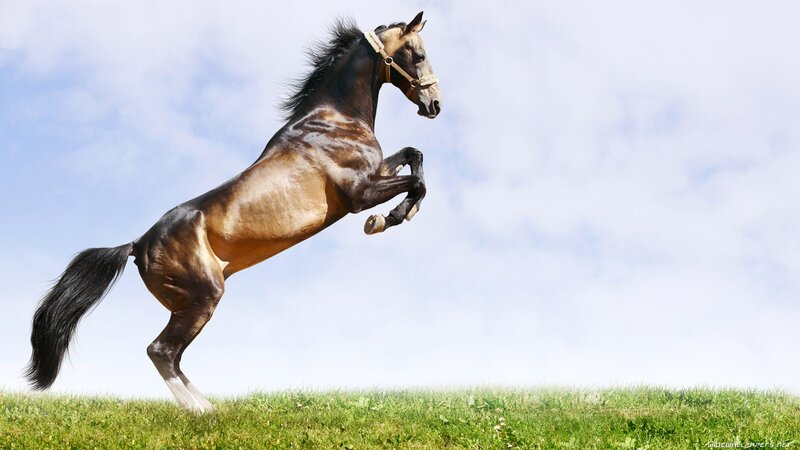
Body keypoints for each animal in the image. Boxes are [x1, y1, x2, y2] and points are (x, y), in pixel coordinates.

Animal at [25, 11, 440, 412]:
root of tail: (137, 245)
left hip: (187, 304)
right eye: (419, 55)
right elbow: (416, 183)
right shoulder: (359, 193)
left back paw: (210, 406)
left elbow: (414, 156)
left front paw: (399, 213)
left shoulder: (376, 173)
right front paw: (386, 220)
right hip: (203, 298)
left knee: (172, 356)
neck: (334, 119)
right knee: (161, 351)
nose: (434, 105)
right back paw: (199, 411)